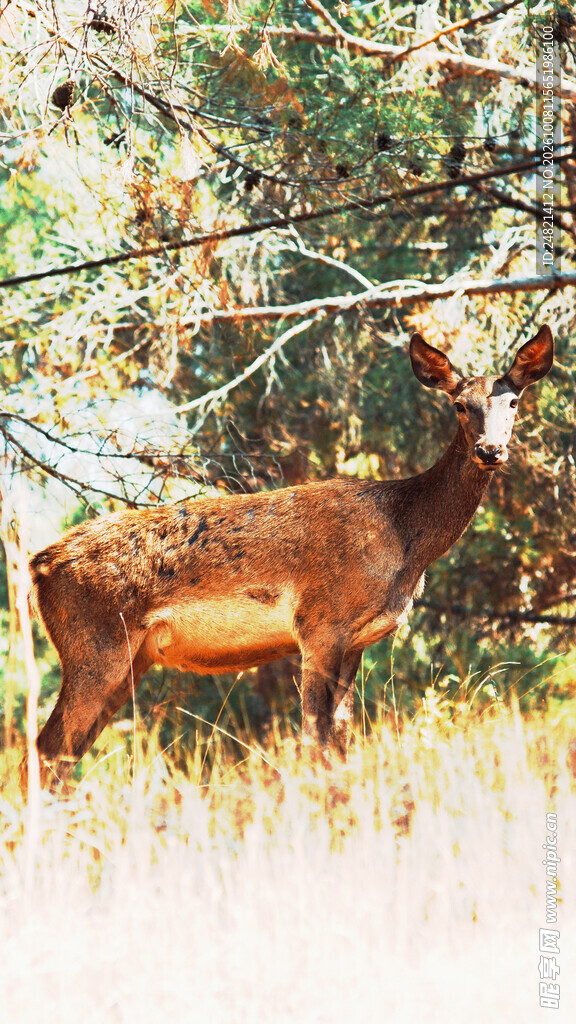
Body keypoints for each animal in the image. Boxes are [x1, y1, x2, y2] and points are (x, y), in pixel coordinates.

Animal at [28, 325, 553, 785]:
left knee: (62, 755)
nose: (490, 450)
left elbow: (341, 739)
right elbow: (314, 740)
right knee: (45, 750)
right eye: (459, 404)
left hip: (129, 660)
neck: (405, 540)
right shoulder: (319, 624)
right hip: (96, 647)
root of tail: (38, 565)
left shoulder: (356, 641)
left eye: (513, 401)